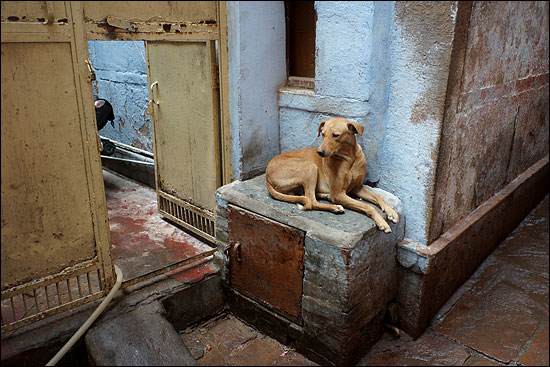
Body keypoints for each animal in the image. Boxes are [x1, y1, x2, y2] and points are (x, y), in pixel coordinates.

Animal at [266, 117, 398, 233]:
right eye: (322, 134)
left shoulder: (357, 187)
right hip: (310, 167)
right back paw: (334, 207)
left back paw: (326, 196)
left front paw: (391, 212)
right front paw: (382, 222)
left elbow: (378, 197)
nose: (319, 152)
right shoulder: (339, 194)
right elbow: (368, 206)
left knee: (305, 195)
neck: (350, 158)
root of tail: (267, 176)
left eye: (335, 135)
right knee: (311, 201)